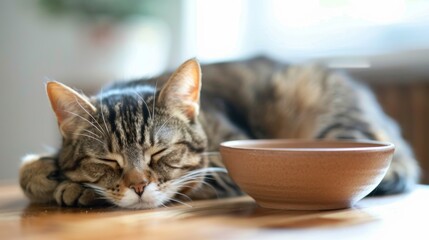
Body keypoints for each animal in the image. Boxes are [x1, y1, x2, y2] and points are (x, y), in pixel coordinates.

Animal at [19, 56, 418, 208]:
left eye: (160, 153)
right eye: (106, 160)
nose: (138, 186)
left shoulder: (220, 169)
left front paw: (75, 189)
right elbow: (27, 171)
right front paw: (49, 173)